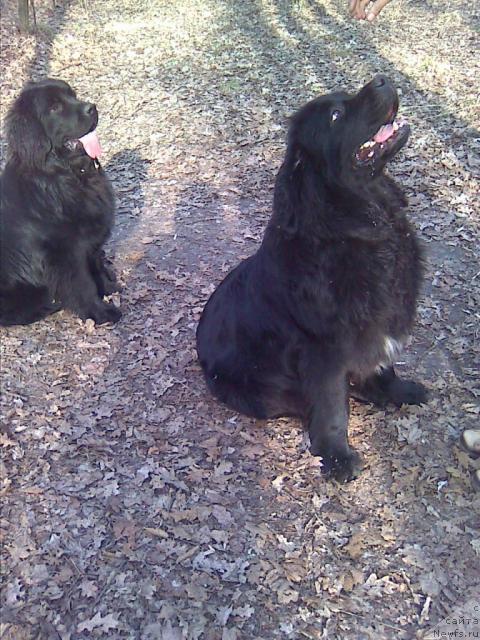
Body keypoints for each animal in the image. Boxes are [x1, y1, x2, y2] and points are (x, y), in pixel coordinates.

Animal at [0, 78, 120, 324]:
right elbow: (83, 285)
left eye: (72, 95)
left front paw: (108, 287)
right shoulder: (63, 254)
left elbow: (95, 265)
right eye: (54, 107)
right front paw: (101, 313)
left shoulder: (88, 242)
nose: (92, 108)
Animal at [197, 75, 430, 480]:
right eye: (336, 115)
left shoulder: (377, 325)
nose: (382, 78)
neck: (356, 225)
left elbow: (382, 367)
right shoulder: (324, 350)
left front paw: (397, 391)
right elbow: (332, 405)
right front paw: (336, 456)